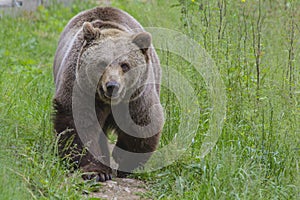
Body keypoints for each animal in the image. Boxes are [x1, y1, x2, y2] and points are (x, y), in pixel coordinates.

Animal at [51, 6, 164, 181]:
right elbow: (81, 126)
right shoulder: (81, 89)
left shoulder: (136, 97)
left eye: (125, 65)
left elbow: (141, 125)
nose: (112, 86)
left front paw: (126, 164)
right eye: (102, 63)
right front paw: (98, 172)